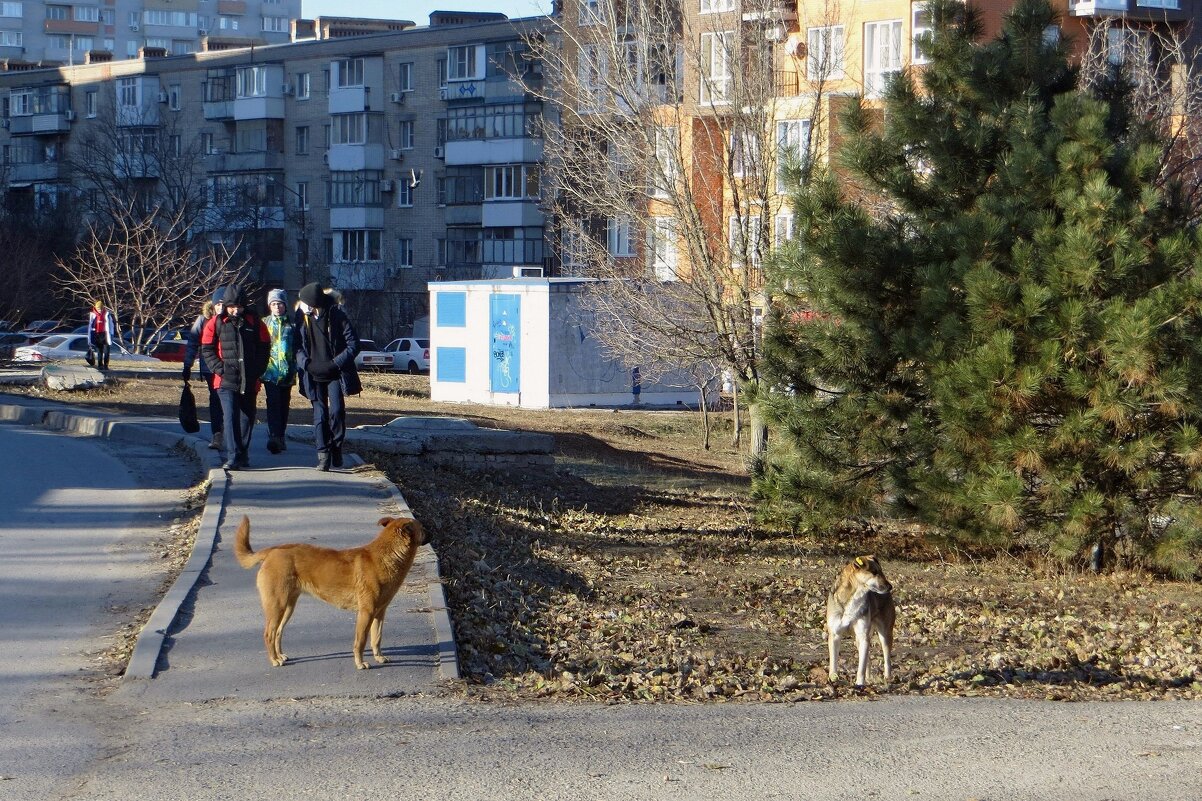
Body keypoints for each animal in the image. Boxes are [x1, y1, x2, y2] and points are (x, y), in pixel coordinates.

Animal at [230, 512, 427, 668]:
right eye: (423, 528)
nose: (432, 530)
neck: (387, 555)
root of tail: (272, 551)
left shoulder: (379, 613)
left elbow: (376, 638)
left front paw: (378, 657)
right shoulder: (366, 613)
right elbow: (361, 641)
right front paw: (360, 663)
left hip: (287, 608)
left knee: (278, 632)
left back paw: (280, 655)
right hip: (277, 606)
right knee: (269, 634)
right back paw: (274, 659)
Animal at [826, 553, 894, 683]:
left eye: (881, 571)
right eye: (874, 572)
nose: (890, 587)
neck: (855, 595)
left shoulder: (863, 636)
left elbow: (861, 667)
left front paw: (859, 684)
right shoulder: (835, 635)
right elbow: (833, 662)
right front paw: (833, 679)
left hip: (884, 633)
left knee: (886, 658)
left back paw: (887, 678)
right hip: (858, 639)